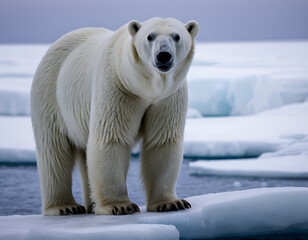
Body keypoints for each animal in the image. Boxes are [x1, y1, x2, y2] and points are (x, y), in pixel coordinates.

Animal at [30, 16, 197, 216]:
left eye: (177, 36)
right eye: (150, 36)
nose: (163, 55)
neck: (145, 88)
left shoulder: (168, 97)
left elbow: (162, 141)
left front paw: (171, 203)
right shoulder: (117, 87)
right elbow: (111, 138)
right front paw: (120, 205)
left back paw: (89, 206)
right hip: (50, 94)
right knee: (54, 150)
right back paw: (65, 206)